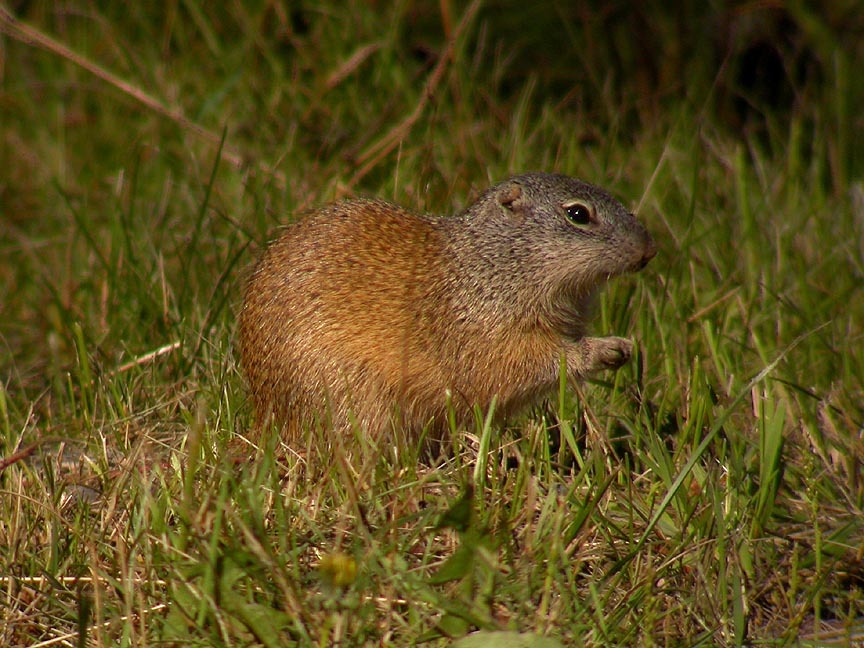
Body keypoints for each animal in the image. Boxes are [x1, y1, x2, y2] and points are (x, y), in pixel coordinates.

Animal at [236, 175, 656, 454]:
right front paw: (606, 348)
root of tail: (266, 419)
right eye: (577, 214)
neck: (487, 262)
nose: (648, 250)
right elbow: (527, 364)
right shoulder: (486, 338)